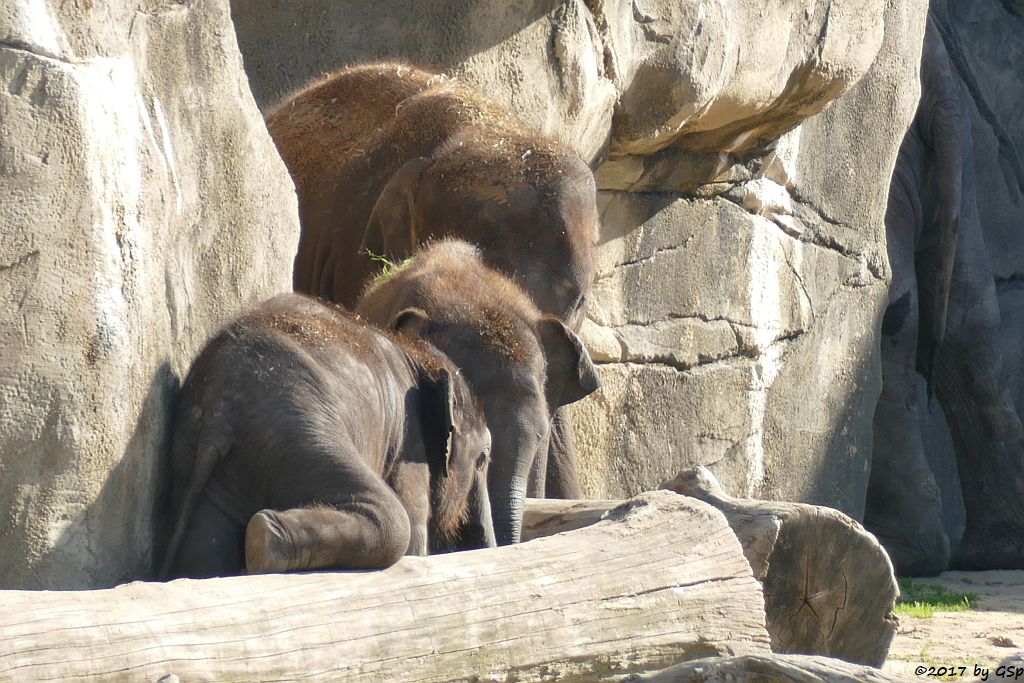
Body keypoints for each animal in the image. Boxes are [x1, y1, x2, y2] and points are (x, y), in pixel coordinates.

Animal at [159, 290, 495, 581]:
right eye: (483, 458)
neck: (417, 356)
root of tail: (221, 406)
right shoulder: (409, 441)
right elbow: (413, 535)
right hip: (298, 431)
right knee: (394, 522)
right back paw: (263, 541)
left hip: (202, 457)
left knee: (202, 556)